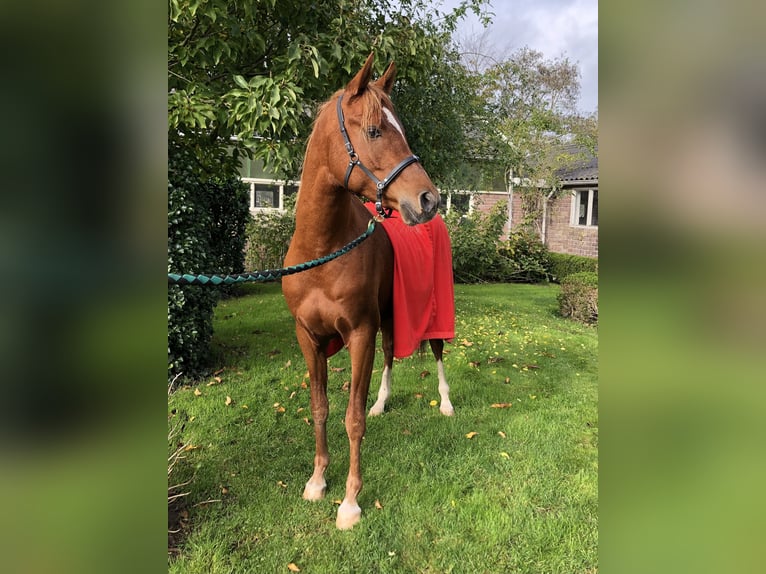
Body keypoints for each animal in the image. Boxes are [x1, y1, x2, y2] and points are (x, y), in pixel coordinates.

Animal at [282, 55, 452, 532]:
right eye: (375, 130)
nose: (428, 199)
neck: (322, 251)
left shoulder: (359, 333)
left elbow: (352, 420)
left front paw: (350, 502)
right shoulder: (309, 338)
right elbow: (321, 408)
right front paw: (318, 481)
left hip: (432, 313)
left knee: (437, 350)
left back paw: (447, 404)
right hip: (392, 314)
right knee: (393, 353)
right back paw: (382, 402)